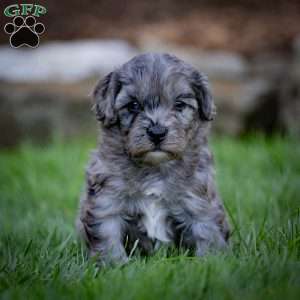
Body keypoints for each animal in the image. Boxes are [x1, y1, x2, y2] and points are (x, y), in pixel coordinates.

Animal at [77, 52, 230, 264]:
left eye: (179, 105)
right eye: (133, 105)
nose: (157, 132)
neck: (154, 168)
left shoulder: (199, 201)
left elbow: (208, 233)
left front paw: (212, 262)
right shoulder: (107, 200)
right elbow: (107, 237)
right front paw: (114, 265)